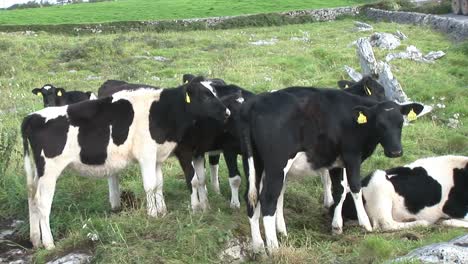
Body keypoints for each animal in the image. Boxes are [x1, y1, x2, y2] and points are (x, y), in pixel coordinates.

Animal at [22, 76, 230, 250]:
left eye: (214, 91)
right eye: (205, 96)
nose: (227, 112)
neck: (161, 110)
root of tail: (32, 116)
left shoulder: (157, 156)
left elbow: (159, 184)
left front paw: (162, 211)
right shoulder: (146, 155)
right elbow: (150, 186)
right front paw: (153, 214)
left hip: (37, 172)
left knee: (32, 198)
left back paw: (35, 240)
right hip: (50, 171)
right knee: (43, 203)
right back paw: (49, 243)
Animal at [239, 86, 426, 252]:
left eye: (401, 123)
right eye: (380, 124)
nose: (396, 152)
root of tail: (255, 102)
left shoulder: (336, 163)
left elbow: (340, 191)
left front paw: (337, 226)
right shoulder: (352, 156)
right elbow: (355, 187)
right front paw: (365, 224)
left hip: (255, 164)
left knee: (252, 198)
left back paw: (259, 246)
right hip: (277, 165)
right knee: (268, 199)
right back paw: (273, 247)